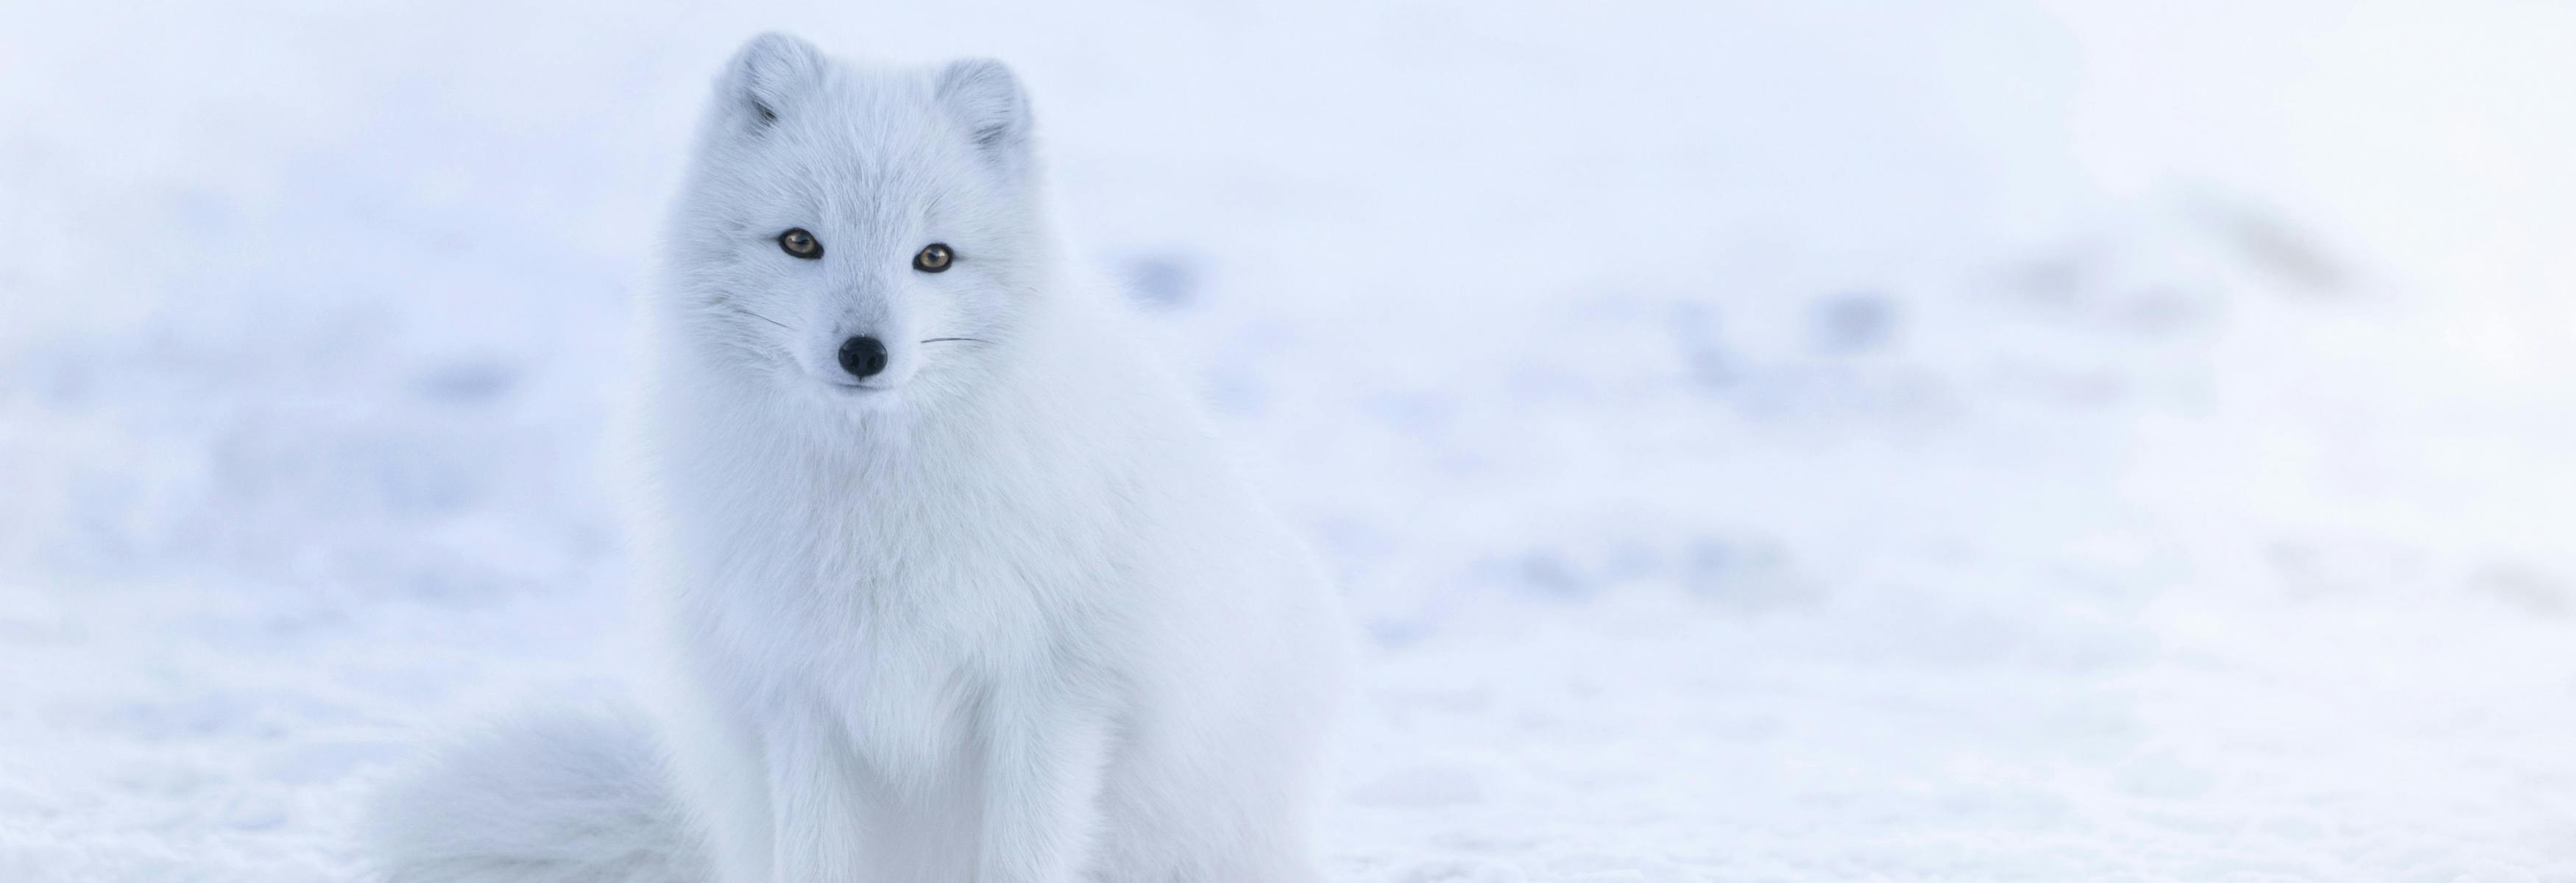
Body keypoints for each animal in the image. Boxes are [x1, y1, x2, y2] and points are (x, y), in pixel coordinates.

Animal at [366, 33, 1350, 883]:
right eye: (801, 242)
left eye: (934, 257)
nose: (864, 353)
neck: (874, 501)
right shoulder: (801, 696)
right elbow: (813, 859)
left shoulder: (1052, 692)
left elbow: (1023, 855)